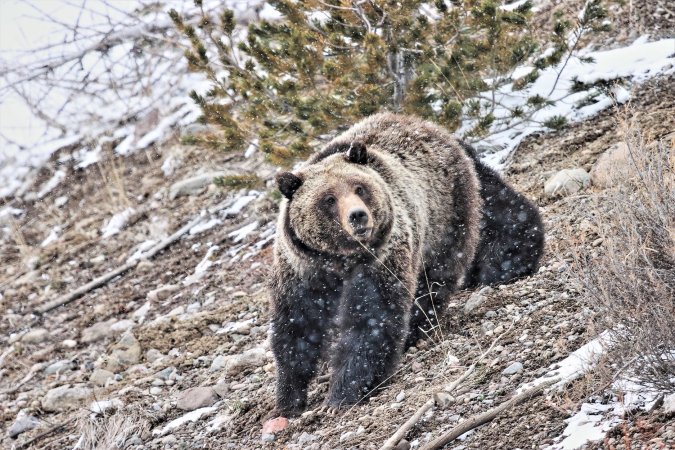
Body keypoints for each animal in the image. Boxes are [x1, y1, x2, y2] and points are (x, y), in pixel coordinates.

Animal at [270, 112, 544, 414]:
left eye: (359, 188)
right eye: (328, 199)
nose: (358, 216)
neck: (340, 260)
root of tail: (429, 125)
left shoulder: (381, 258)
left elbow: (372, 318)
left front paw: (342, 394)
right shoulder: (302, 269)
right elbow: (296, 325)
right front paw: (289, 397)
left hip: (445, 211)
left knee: (439, 274)